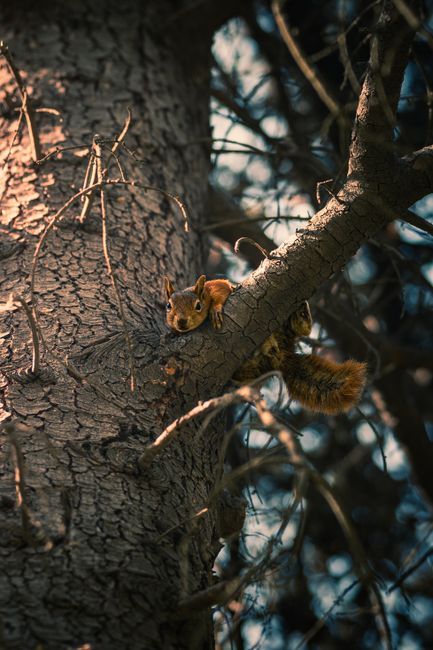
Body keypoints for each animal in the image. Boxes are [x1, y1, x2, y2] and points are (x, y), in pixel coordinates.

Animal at [163, 275, 366, 414]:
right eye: (168, 306)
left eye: (198, 305)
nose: (181, 322)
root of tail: (281, 355)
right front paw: (173, 332)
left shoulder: (215, 285)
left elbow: (221, 290)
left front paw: (215, 310)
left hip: (282, 328)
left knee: (303, 330)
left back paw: (302, 312)